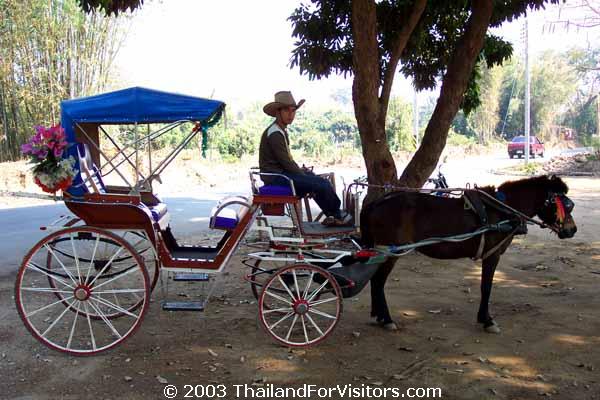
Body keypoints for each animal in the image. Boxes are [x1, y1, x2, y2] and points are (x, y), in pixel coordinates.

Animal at [358, 177, 580, 332]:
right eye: (565, 204)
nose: (572, 230)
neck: (501, 210)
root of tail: (376, 203)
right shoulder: (492, 255)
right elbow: (486, 287)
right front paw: (487, 320)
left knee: (375, 280)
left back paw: (378, 315)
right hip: (391, 251)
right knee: (378, 281)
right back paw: (386, 319)